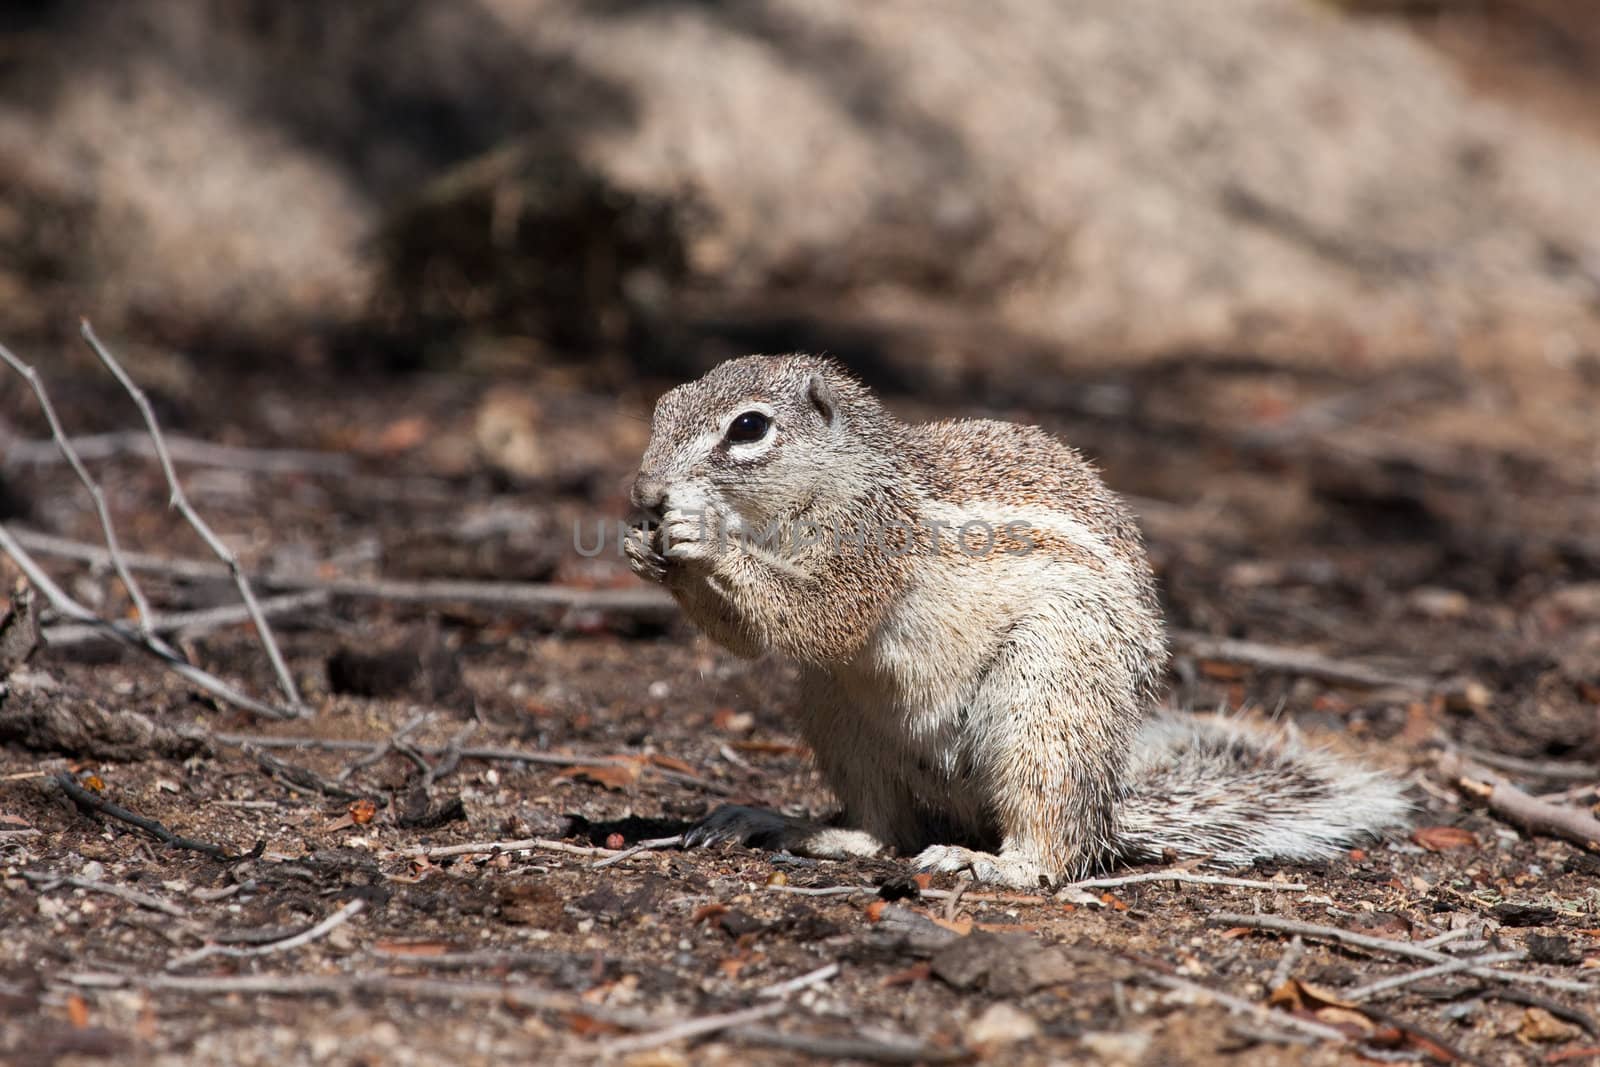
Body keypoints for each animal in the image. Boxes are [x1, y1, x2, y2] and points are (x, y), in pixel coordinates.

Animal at [624, 355, 1401, 889]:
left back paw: (994, 865)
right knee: (887, 829)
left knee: (1051, 846)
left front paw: (701, 538)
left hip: (1047, 697)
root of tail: (1108, 809)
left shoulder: (872, 545)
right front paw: (644, 549)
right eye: (662, 407)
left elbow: (819, 615)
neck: (841, 477)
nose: (645, 491)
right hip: (836, 711)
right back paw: (796, 827)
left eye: (748, 427)